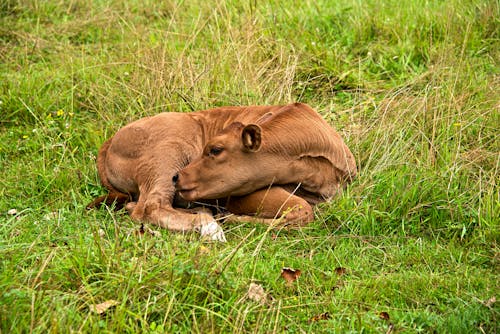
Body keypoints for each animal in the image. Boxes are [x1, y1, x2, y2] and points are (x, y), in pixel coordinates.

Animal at [88, 102, 358, 240]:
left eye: (216, 150)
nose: (179, 176)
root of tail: (111, 140)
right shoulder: (240, 195)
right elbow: (303, 210)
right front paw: (230, 218)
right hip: (169, 151)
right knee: (149, 207)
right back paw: (209, 226)